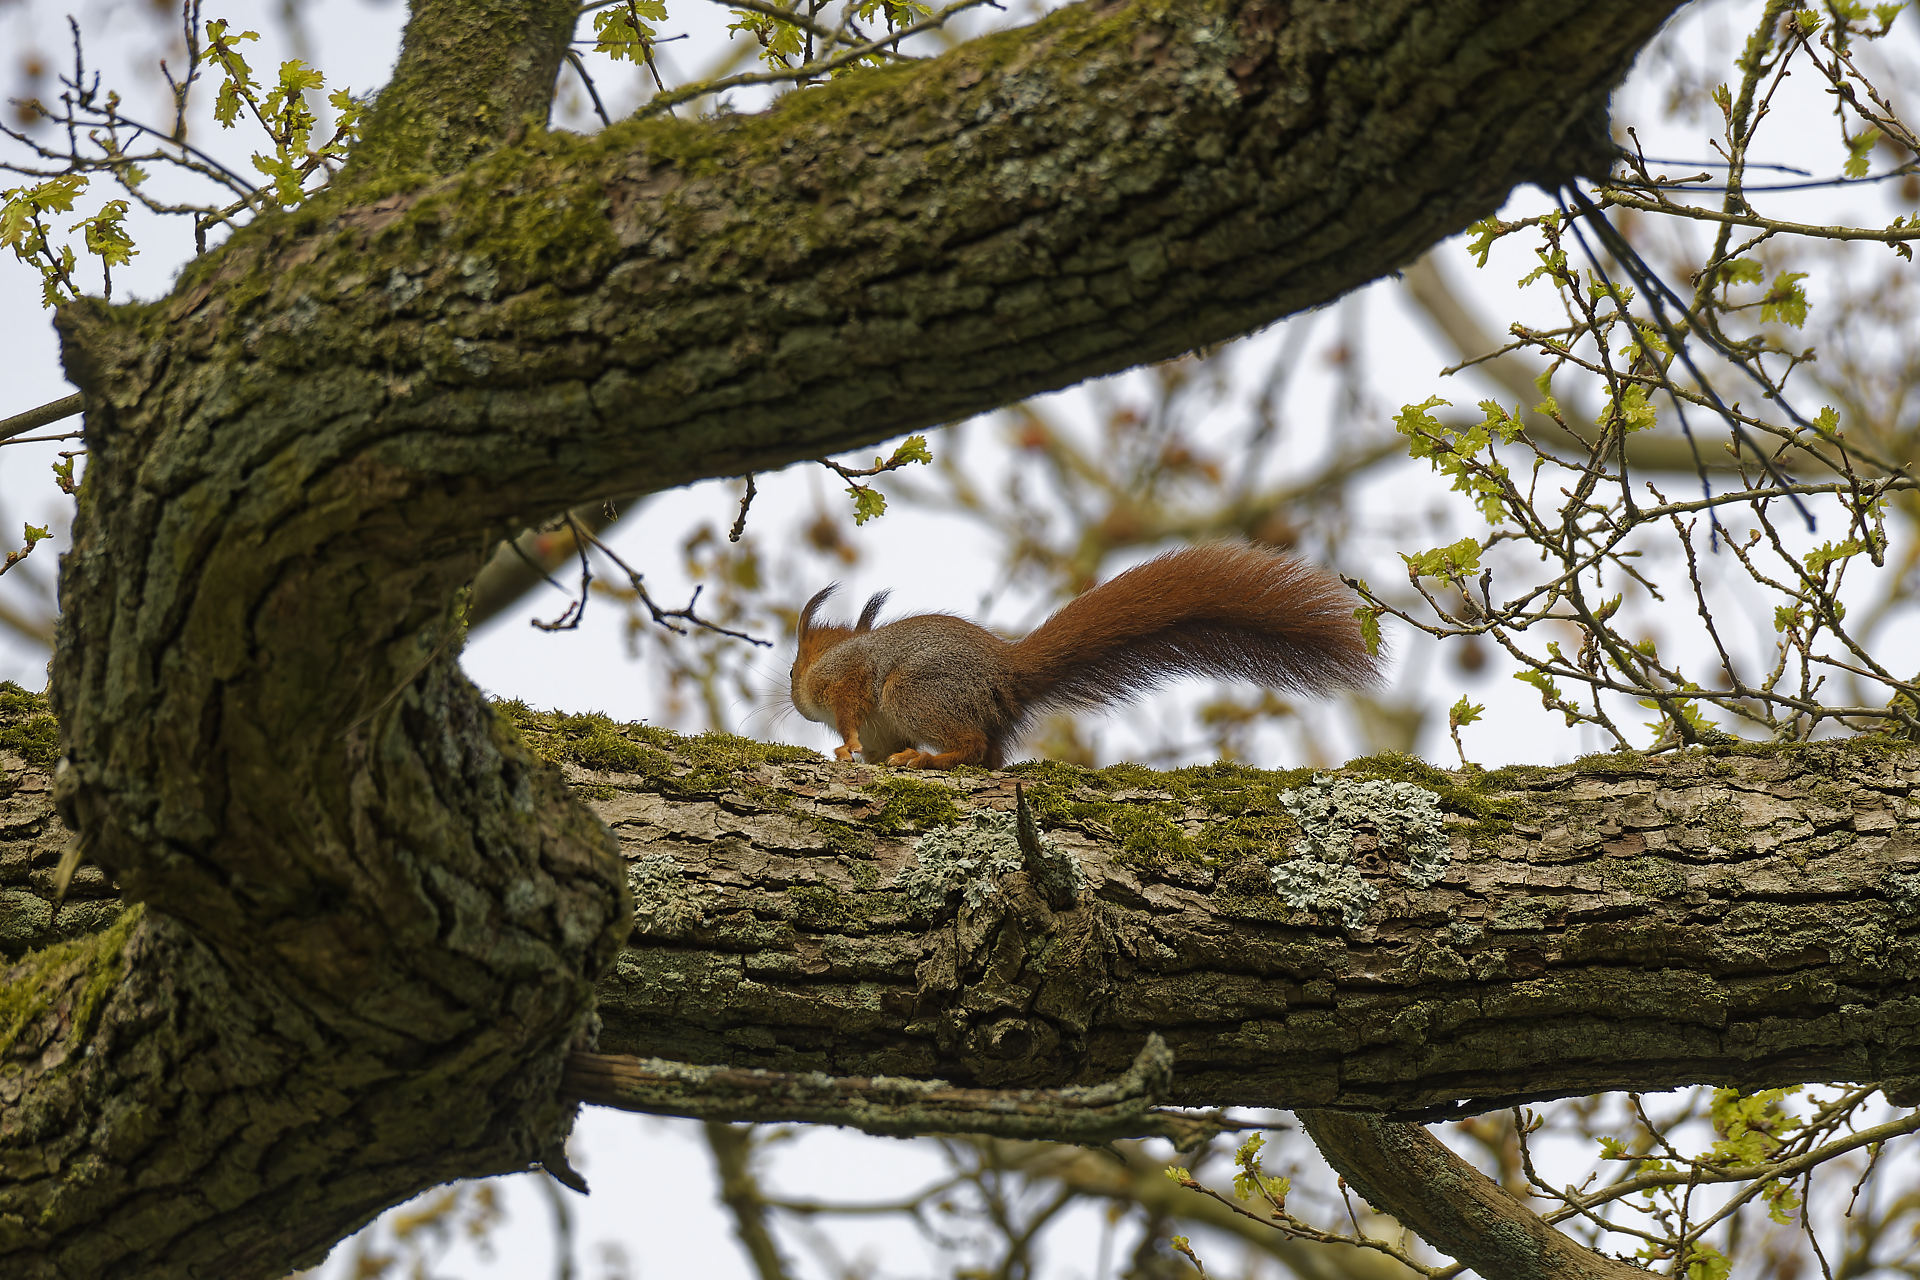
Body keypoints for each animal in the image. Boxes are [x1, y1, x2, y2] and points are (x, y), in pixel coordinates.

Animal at [789, 543, 1382, 769]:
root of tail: (1006, 674)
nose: (793, 701)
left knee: (972, 746)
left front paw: (845, 747)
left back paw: (928, 758)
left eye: (795, 668)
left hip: (915, 692)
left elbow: (851, 717)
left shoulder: (850, 680)